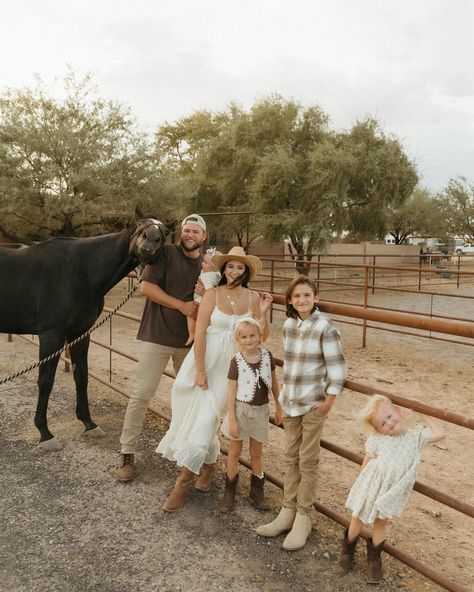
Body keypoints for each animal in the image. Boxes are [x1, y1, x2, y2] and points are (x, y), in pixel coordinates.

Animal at [0, 217, 168, 448]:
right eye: (139, 225)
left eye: (165, 231)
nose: (149, 241)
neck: (79, 272)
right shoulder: (51, 335)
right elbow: (45, 381)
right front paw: (45, 433)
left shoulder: (80, 333)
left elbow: (81, 376)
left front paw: (89, 423)